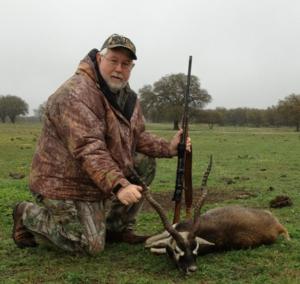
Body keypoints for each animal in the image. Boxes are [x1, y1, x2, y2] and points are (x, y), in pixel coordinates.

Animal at [130, 158, 290, 276]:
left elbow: (151, 245)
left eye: (195, 250)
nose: (192, 269)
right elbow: (150, 241)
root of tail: (277, 225)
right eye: (178, 250)